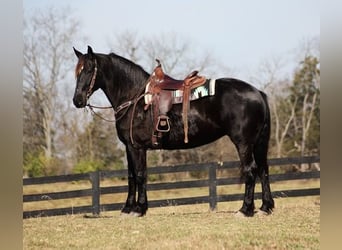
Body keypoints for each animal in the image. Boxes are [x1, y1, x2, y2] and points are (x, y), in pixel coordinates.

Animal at [73, 46, 276, 217]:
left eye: (89, 70)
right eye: (77, 72)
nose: (77, 100)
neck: (135, 98)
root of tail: (257, 92)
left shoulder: (137, 147)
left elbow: (140, 175)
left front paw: (139, 209)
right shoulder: (129, 147)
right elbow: (131, 176)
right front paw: (127, 209)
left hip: (243, 143)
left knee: (251, 170)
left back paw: (245, 209)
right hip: (257, 142)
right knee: (263, 169)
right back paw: (265, 207)